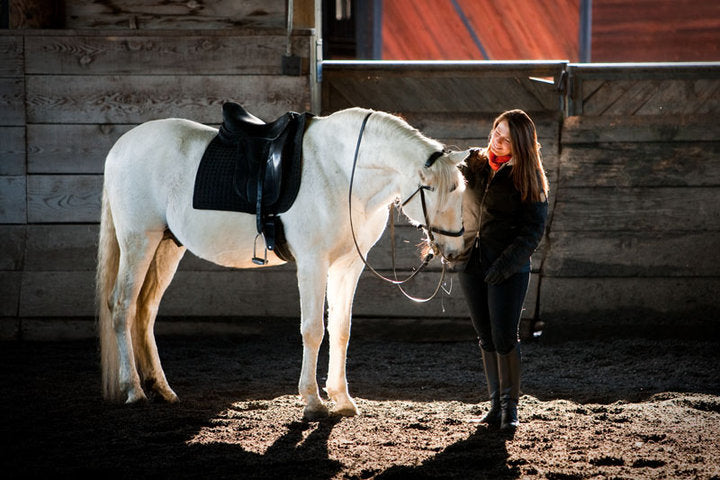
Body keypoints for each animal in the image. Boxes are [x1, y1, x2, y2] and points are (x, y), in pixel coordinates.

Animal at [95, 106, 466, 420]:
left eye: (458, 190)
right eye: (431, 190)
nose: (454, 248)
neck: (342, 174)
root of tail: (121, 147)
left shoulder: (348, 265)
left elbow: (341, 329)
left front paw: (341, 399)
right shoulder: (313, 263)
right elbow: (313, 330)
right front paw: (313, 401)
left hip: (166, 247)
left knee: (145, 312)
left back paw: (162, 389)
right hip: (138, 242)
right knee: (123, 307)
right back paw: (134, 390)